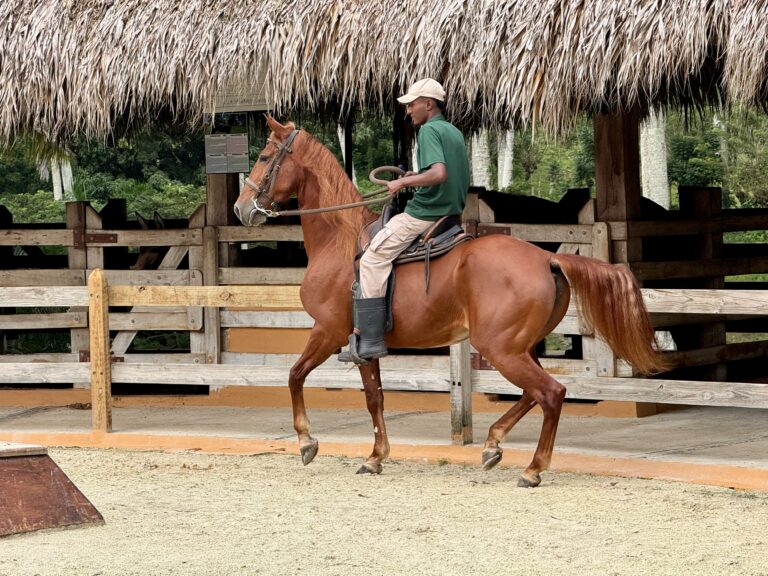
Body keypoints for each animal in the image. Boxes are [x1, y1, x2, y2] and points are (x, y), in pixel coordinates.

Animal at [234, 116, 665, 487]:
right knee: (533, 393)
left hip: (501, 348)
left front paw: (308, 441)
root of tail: (547, 258)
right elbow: (375, 398)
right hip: (520, 347)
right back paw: (493, 443)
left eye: (265, 157)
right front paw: (376, 456)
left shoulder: (328, 331)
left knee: (551, 394)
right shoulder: (364, 346)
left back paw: (532, 468)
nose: (241, 209)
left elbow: (295, 375)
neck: (339, 242)